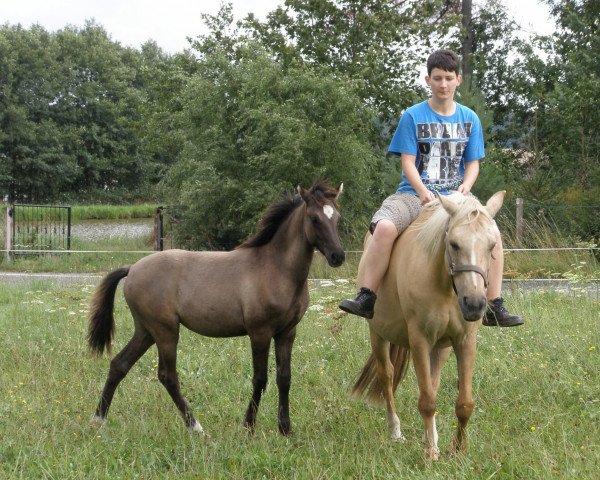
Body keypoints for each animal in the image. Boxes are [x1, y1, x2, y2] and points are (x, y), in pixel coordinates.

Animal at [86, 180, 344, 436]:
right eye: (314, 218)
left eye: (337, 218)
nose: (338, 256)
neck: (275, 268)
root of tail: (132, 269)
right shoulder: (259, 332)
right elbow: (260, 379)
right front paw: (248, 427)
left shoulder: (287, 332)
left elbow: (285, 378)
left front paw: (285, 429)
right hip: (165, 331)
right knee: (167, 376)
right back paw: (197, 428)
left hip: (146, 331)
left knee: (119, 364)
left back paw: (98, 420)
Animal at [354, 191, 504, 462]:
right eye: (454, 244)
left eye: (491, 246)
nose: (475, 304)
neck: (446, 287)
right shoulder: (420, 341)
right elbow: (426, 402)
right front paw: (430, 455)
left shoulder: (464, 342)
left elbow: (464, 403)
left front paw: (457, 450)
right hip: (378, 334)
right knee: (387, 375)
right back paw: (396, 432)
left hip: (441, 347)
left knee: (432, 382)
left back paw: (430, 437)